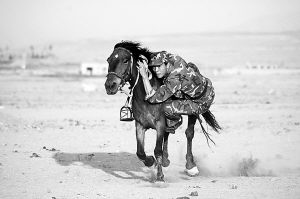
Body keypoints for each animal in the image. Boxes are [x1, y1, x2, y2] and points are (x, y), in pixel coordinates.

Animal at [105, 40, 220, 182]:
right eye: (108, 60)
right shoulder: (140, 125)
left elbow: (157, 150)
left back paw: (190, 166)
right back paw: (166, 160)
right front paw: (151, 161)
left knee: (189, 133)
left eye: (125, 60)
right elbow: (140, 152)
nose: (110, 85)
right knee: (168, 134)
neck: (145, 97)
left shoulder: (159, 124)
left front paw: (159, 176)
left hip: (193, 110)